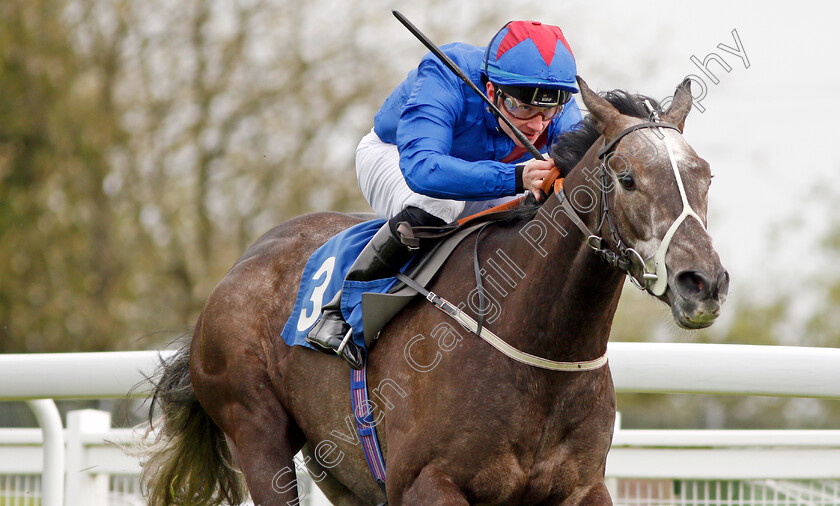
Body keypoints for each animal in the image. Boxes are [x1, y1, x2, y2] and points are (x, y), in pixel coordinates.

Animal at [138, 76, 728, 506]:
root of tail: (240, 266)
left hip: (339, 468)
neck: (540, 349)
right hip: (257, 431)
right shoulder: (428, 482)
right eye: (628, 178)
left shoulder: (581, 488)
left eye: (706, 176)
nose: (703, 283)